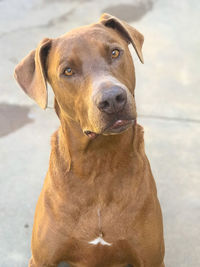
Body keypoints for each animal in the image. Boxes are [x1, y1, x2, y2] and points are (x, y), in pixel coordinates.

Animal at [14, 13, 164, 267]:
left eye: (115, 52)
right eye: (68, 71)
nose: (112, 99)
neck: (98, 162)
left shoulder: (151, 258)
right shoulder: (42, 259)